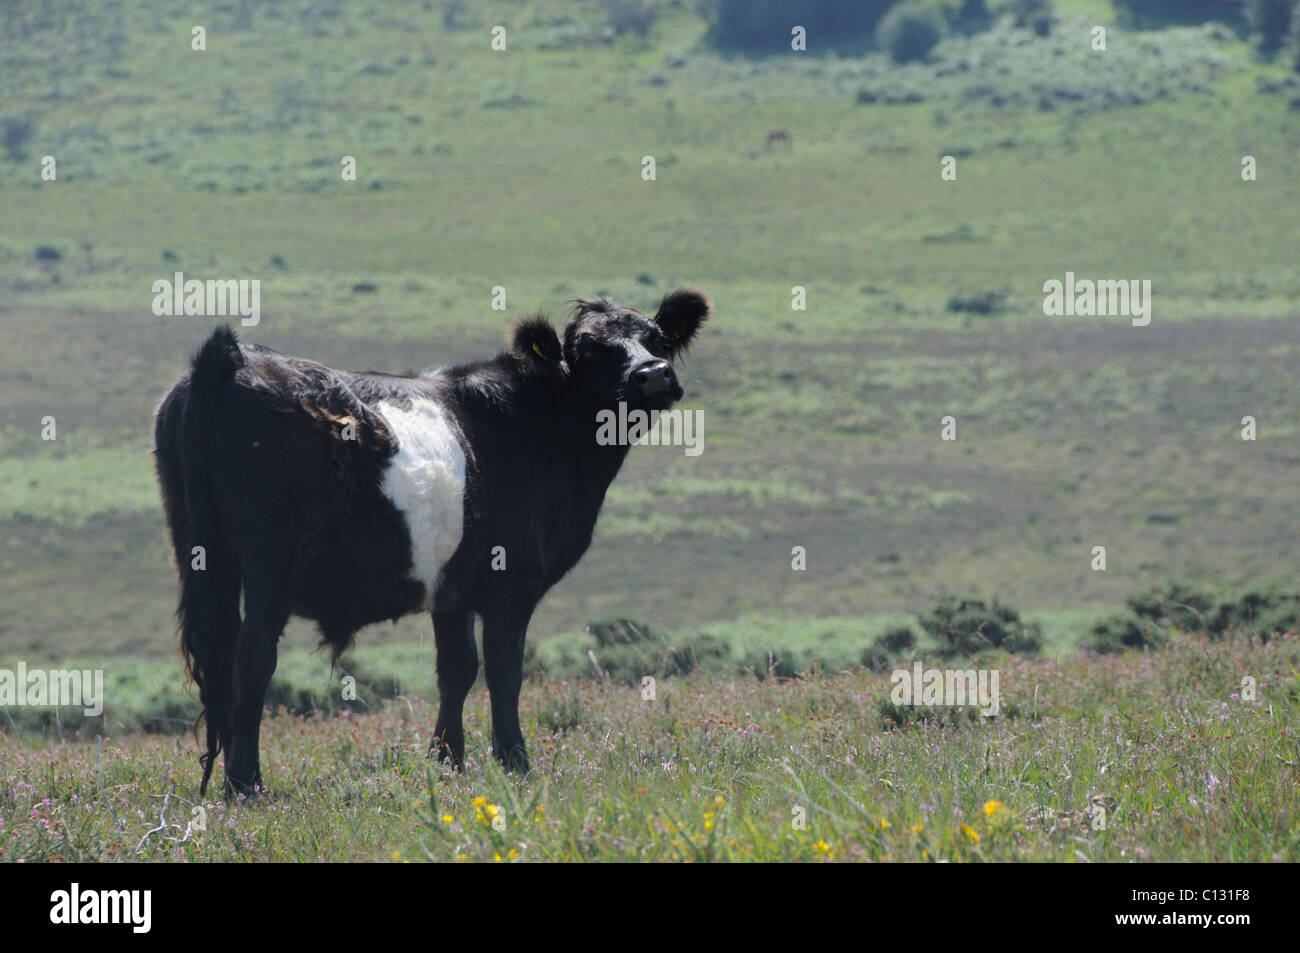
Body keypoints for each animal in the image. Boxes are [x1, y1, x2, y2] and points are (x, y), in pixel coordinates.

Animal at [154, 289, 712, 795]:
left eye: (657, 338)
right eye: (590, 349)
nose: (654, 374)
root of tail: (233, 356)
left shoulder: (452, 589)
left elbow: (457, 670)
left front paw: (447, 761)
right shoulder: (513, 583)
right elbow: (504, 671)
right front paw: (515, 764)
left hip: (201, 555)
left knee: (219, 657)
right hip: (269, 566)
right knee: (252, 659)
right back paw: (247, 785)